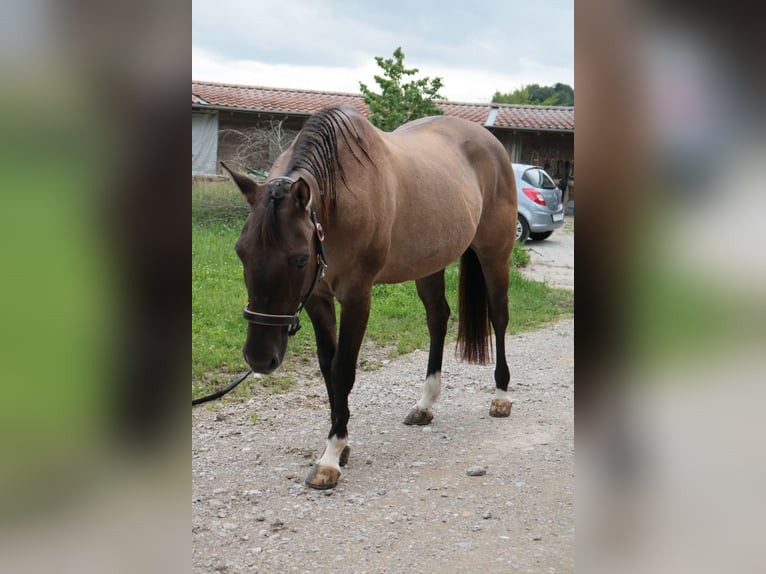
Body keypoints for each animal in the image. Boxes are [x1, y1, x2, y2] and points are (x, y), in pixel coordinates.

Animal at [221, 104, 517, 490]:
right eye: (241, 252)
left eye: (300, 258)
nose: (258, 359)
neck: (337, 199)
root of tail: (492, 144)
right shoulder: (317, 297)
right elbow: (327, 367)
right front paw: (339, 443)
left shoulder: (357, 296)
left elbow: (343, 369)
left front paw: (331, 457)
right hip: (429, 263)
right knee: (438, 317)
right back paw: (425, 404)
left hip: (495, 255)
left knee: (499, 317)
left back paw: (501, 397)